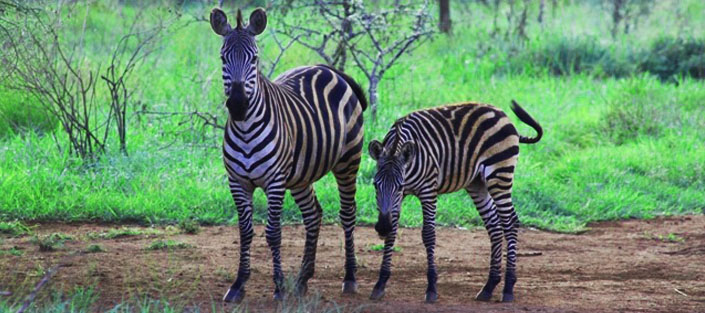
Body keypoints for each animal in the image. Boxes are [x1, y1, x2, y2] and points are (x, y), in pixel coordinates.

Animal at [208, 7, 368, 302]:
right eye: (223, 58)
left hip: (348, 161)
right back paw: (304, 278)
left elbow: (273, 233)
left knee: (348, 213)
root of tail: (326, 68)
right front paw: (238, 284)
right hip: (301, 176)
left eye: (254, 59)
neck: (245, 129)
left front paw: (279, 286)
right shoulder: (237, 182)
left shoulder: (274, 182)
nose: (237, 105)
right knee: (313, 214)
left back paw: (350, 278)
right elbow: (245, 232)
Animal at [366, 100, 540, 302]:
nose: (381, 227)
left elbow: (428, 235)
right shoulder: (396, 201)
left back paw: (508, 288)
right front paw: (380, 283)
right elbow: (392, 233)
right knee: (494, 226)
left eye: (400, 186)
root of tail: (501, 113)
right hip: (477, 183)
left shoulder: (428, 190)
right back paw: (489, 287)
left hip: (500, 175)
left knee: (510, 222)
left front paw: (431, 288)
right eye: (375, 185)